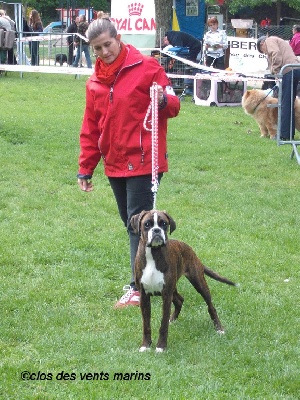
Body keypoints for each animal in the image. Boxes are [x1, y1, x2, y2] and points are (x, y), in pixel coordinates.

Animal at [131, 211, 237, 352]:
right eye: (147, 224)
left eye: (164, 223)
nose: (157, 230)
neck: (154, 253)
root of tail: (191, 250)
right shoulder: (145, 296)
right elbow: (146, 325)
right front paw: (145, 345)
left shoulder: (166, 296)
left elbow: (163, 325)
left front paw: (161, 347)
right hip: (173, 289)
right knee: (180, 300)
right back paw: (172, 319)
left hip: (199, 283)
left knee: (211, 306)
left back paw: (219, 329)